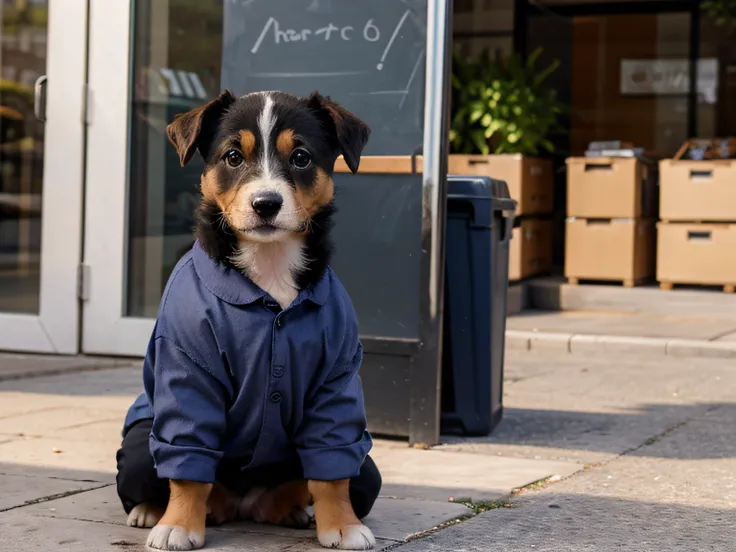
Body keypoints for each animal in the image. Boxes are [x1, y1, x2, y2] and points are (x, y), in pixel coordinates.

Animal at [116, 88, 380, 548]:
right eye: (233, 157)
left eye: (301, 158)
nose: (266, 204)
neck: (269, 268)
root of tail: (241, 506)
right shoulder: (188, 368)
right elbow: (188, 463)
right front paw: (178, 525)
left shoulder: (337, 377)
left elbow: (332, 471)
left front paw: (344, 525)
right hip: (140, 451)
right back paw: (152, 512)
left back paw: (295, 511)